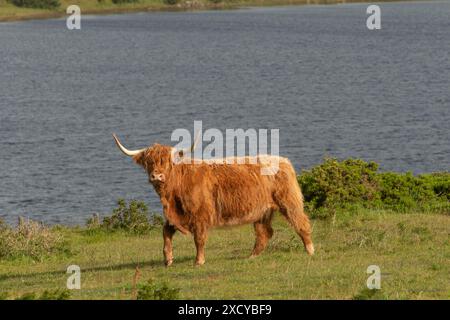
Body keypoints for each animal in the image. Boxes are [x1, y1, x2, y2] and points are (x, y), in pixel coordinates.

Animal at [112, 134, 312, 264]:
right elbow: (166, 232)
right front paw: (168, 259)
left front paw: (198, 261)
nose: (157, 176)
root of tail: (283, 160)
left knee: (301, 223)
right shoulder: (176, 216)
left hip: (289, 202)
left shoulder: (200, 215)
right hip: (262, 211)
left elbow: (199, 238)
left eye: (167, 162)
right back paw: (251, 256)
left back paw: (310, 250)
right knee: (264, 233)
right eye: (149, 162)